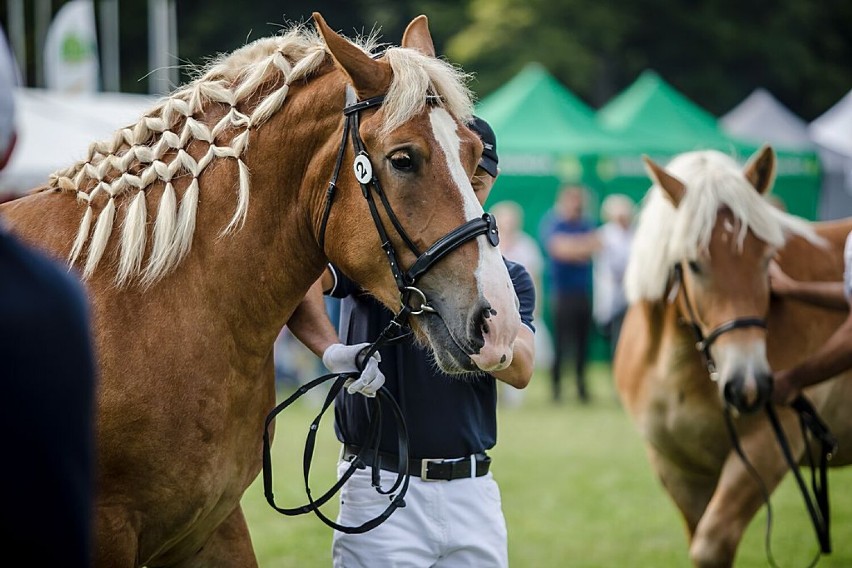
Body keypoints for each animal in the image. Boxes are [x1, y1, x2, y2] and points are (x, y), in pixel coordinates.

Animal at [0, 13, 524, 568]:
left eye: (473, 154)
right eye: (404, 159)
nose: (499, 320)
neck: (147, 305)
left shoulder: (213, 524)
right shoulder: (108, 530)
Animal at [616, 148, 852, 568]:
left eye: (768, 258)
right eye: (693, 263)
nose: (749, 384)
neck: (676, 371)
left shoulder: (767, 448)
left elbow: (711, 545)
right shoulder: (678, 469)